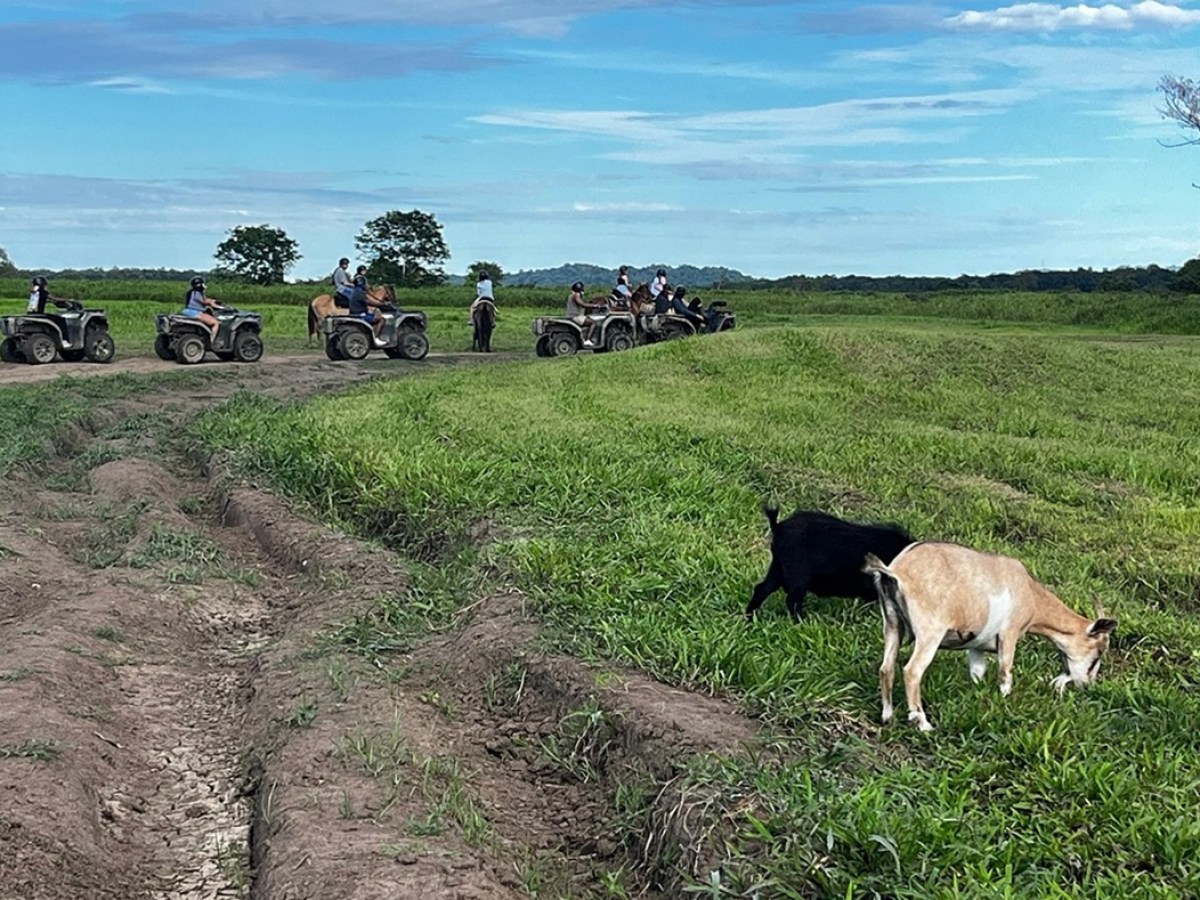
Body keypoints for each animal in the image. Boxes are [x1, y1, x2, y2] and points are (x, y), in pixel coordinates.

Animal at [745, 508, 913, 621]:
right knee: (792, 599)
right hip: (796, 573)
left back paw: (749, 618)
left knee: (762, 588)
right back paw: (801, 621)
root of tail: (777, 527)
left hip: (778, 567)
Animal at [862, 542, 1118, 732]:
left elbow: (977, 672)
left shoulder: (977, 645)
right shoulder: (1009, 633)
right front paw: (1004, 705)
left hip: (892, 624)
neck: (1029, 591)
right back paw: (923, 723)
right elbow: (1005, 673)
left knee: (886, 668)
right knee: (912, 670)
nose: (1086, 685)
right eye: (1099, 652)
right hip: (930, 631)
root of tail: (895, 571)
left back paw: (888, 717)